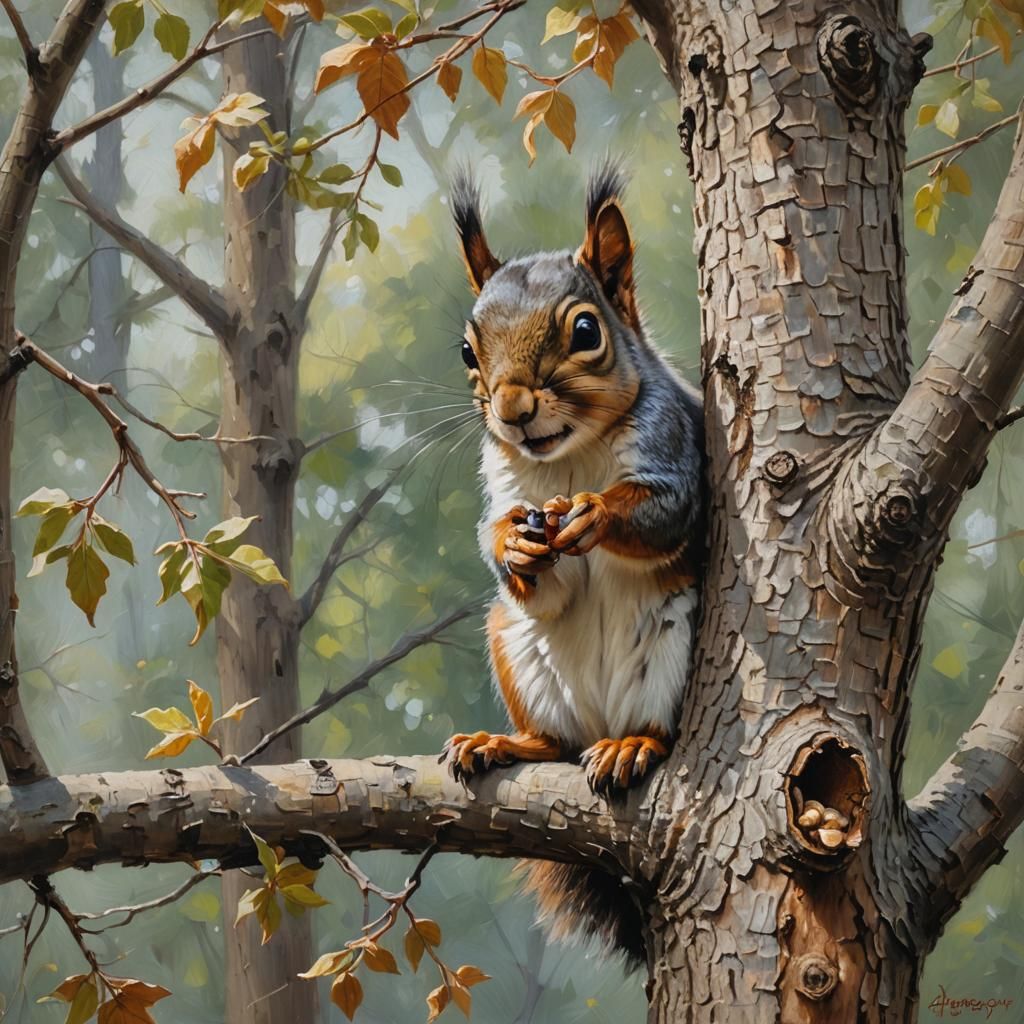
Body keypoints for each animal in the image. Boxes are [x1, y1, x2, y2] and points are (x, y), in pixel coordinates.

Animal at [439, 164, 705, 967]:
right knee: (552, 741)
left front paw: (597, 514)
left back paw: (633, 745)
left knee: (654, 732)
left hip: (675, 652)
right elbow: (529, 569)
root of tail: (598, 722)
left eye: (586, 332)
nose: (512, 408)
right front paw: (512, 546)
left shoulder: (679, 459)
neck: (568, 457)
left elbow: (661, 513)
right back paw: (502, 743)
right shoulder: (508, 488)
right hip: (515, 648)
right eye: (468, 352)